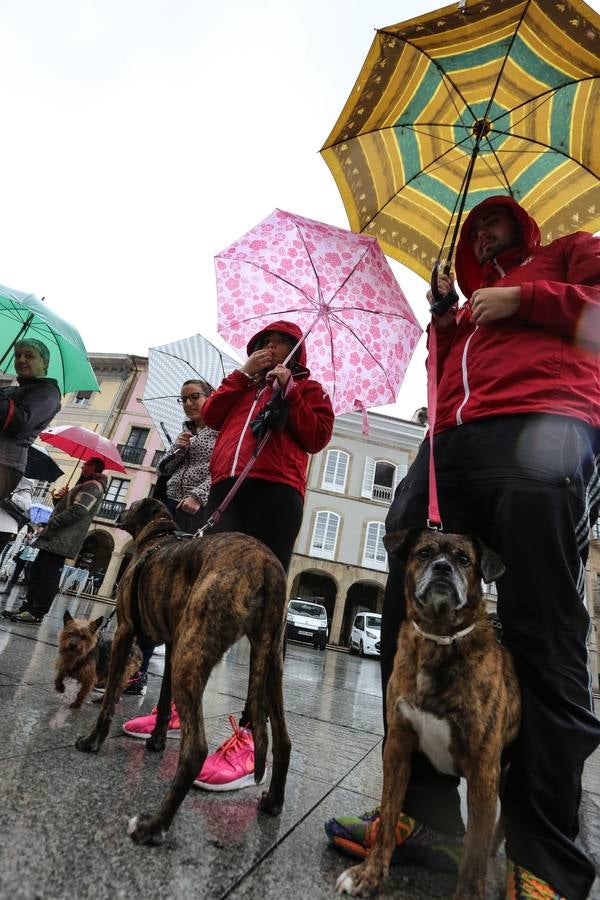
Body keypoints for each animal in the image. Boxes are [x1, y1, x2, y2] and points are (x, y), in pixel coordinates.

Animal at [75, 500, 290, 844]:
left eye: (132, 506)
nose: (118, 511)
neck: (157, 537)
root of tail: (267, 565)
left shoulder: (125, 631)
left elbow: (109, 701)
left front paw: (93, 740)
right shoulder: (173, 642)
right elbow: (164, 702)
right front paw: (157, 740)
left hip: (192, 651)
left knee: (196, 750)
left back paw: (154, 825)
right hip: (268, 664)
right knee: (283, 741)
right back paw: (272, 802)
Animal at [338, 528, 520, 900]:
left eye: (463, 559)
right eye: (424, 553)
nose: (442, 568)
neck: (439, 638)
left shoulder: (483, 772)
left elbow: (473, 855)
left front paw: (470, 891)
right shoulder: (398, 749)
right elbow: (390, 817)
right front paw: (369, 875)